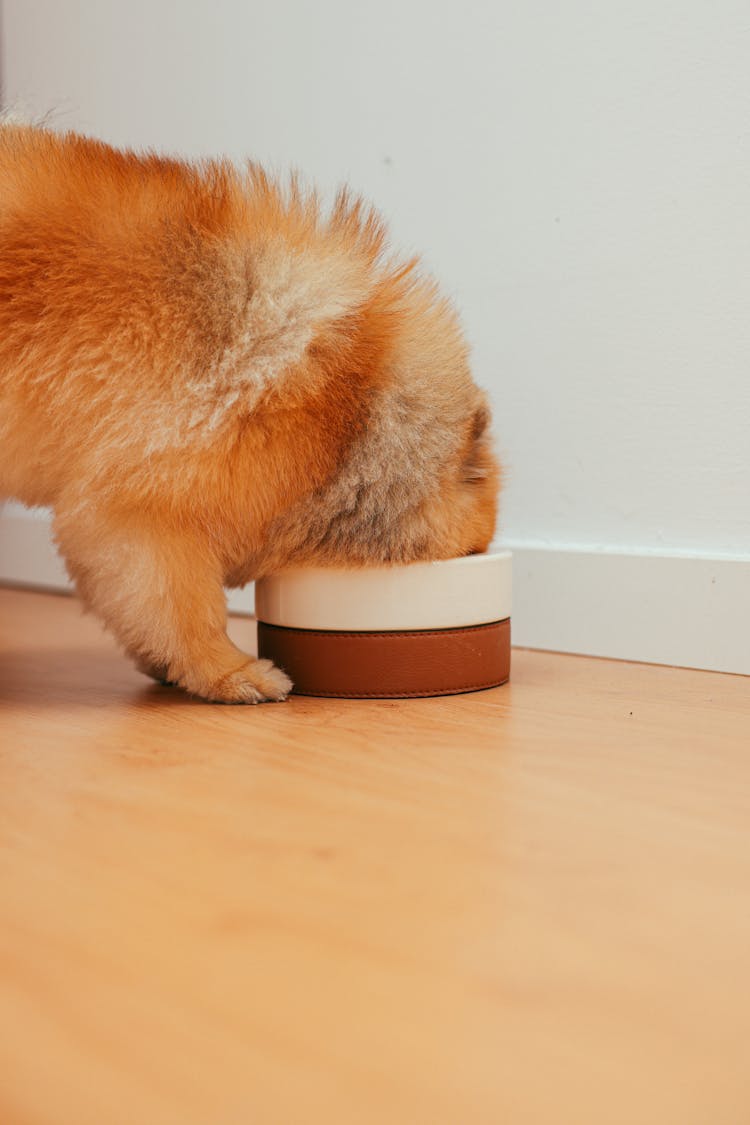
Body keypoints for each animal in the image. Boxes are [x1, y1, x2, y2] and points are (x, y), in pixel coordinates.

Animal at [2, 125, 501, 702]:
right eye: (472, 552)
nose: (480, 557)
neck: (349, 417)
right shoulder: (141, 515)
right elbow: (185, 611)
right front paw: (228, 672)